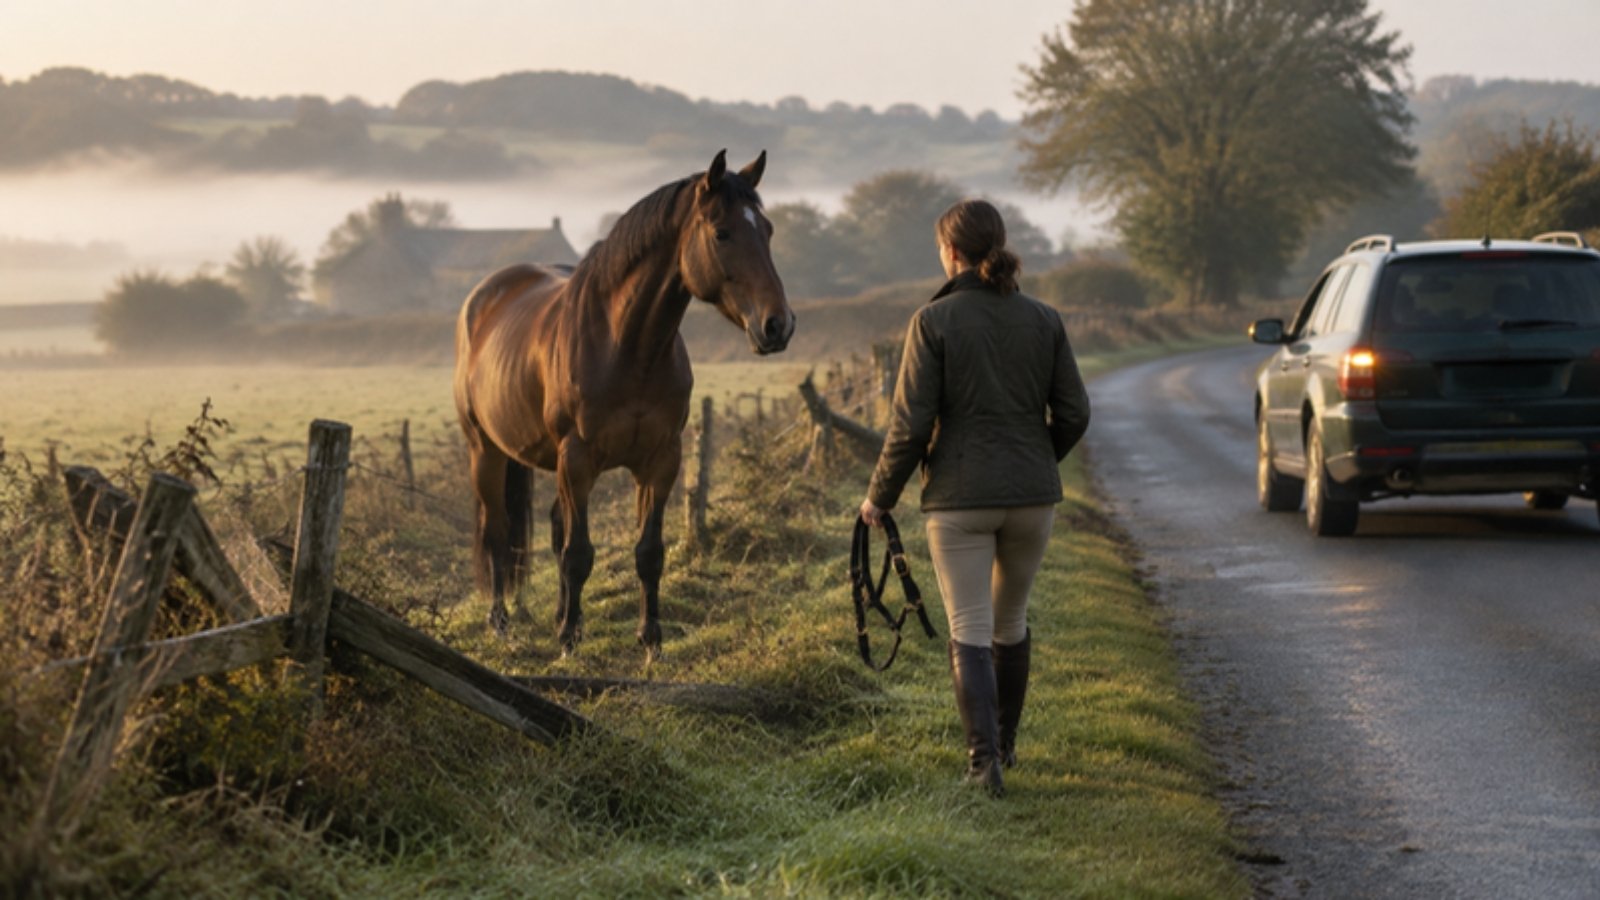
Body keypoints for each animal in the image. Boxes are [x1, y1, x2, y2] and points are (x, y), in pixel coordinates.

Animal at [453, 149, 793, 659]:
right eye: (722, 232)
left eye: (767, 230)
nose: (778, 325)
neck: (626, 347)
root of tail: (482, 299)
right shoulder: (577, 459)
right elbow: (578, 554)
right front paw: (569, 641)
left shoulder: (660, 459)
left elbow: (647, 553)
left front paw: (649, 639)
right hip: (486, 451)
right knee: (497, 532)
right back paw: (501, 622)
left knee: (554, 527)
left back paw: (557, 614)